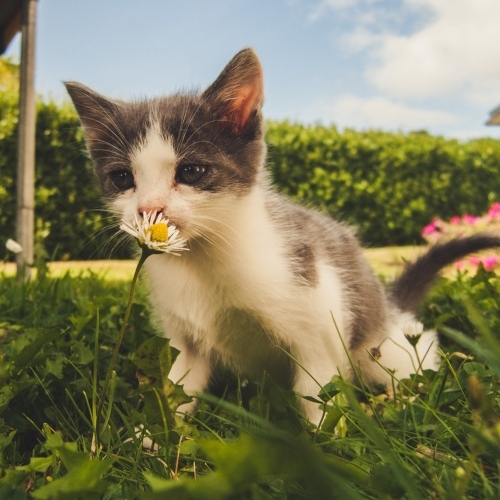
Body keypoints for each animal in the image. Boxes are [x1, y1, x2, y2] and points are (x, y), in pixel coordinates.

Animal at [64, 49, 500, 426]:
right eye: (122, 178)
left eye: (191, 172)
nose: (149, 209)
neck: (203, 260)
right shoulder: (185, 340)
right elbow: (178, 387)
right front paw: (150, 439)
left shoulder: (319, 319)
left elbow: (318, 394)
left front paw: (327, 447)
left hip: (383, 347)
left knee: (413, 357)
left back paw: (404, 400)